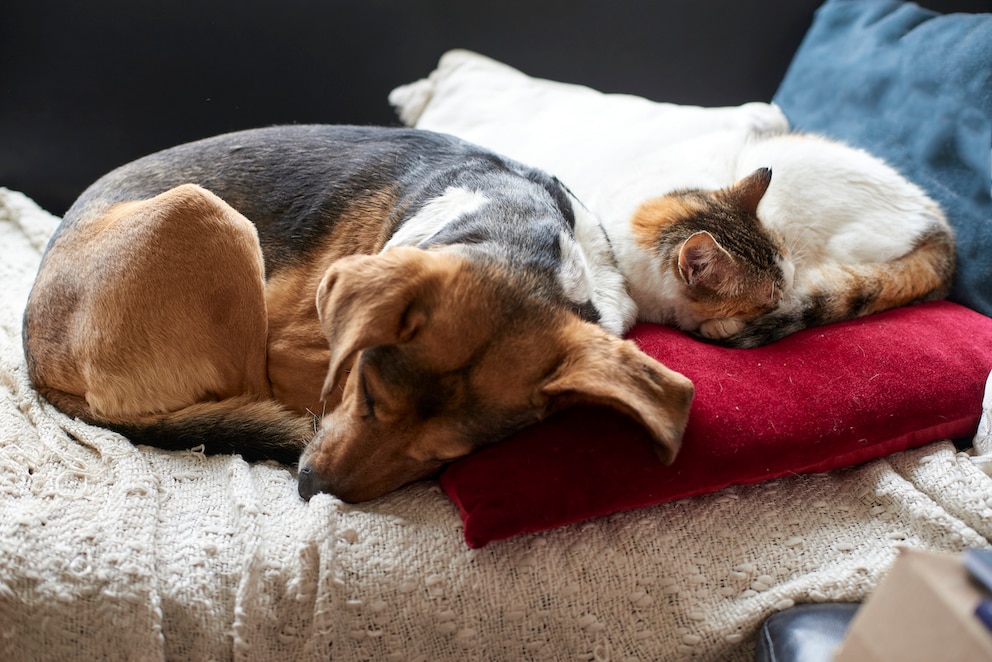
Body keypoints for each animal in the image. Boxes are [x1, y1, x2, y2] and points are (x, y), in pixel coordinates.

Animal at [19, 127, 692, 504]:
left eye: (445, 456)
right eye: (365, 391)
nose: (312, 490)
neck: (516, 234)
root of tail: (36, 361)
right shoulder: (293, 356)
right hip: (201, 212)